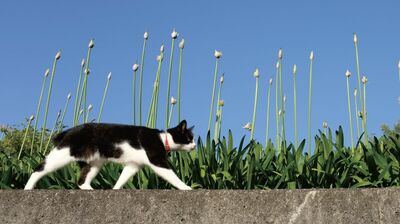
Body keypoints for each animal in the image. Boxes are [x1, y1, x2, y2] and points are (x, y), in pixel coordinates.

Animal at [24, 120, 196, 190]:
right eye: (189, 138)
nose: (195, 145)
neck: (163, 138)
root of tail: (69, 131)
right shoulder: (157, 161)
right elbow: (172, 176)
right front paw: (186, 188)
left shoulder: (133, 165)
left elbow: (122, 178)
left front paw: (115, 189)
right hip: (63, 155)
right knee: (38, 169)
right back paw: (28, 188)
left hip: (94, 163)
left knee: (81, 181)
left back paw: (92, 190)